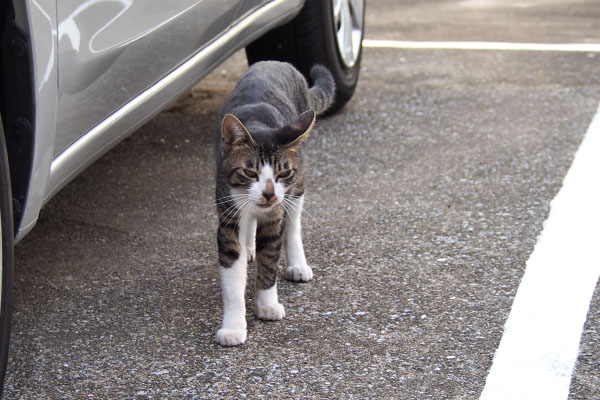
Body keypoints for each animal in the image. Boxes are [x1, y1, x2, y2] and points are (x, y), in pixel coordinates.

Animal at [214, 61, 338, 346]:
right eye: (250, 172)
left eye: (283, 173)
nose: (269, 194)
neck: (257, 122)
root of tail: (277, 62)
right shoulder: (228, 214)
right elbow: (232, 274)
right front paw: (234, 327)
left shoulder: (275, 214)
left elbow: (270, 260)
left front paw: (268, 305)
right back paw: (250, 247)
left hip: (298, 186)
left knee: (293, 226)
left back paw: (297, 264)